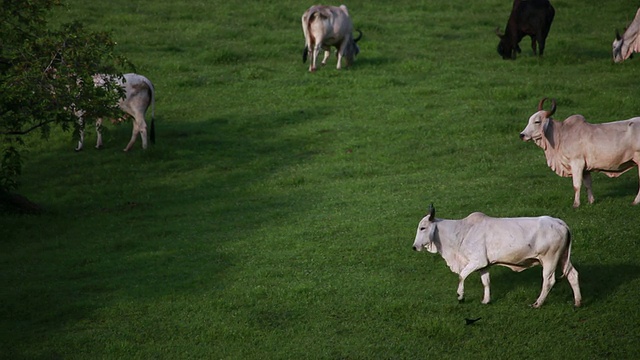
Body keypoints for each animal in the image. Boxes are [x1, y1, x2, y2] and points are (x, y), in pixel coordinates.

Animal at [412, 204, 584, 308]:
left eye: (422, 228)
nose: (414, 247)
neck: (461, 231)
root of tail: (560, 222)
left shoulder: (476, 261)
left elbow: (461, 276)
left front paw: (460, 296)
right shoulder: (484, 265)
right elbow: (486, 282)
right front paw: (486, 300)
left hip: (550, 259)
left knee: (548, 281)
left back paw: (537, 303)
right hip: (562, 258)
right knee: (573, 275)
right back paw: (577, 302)